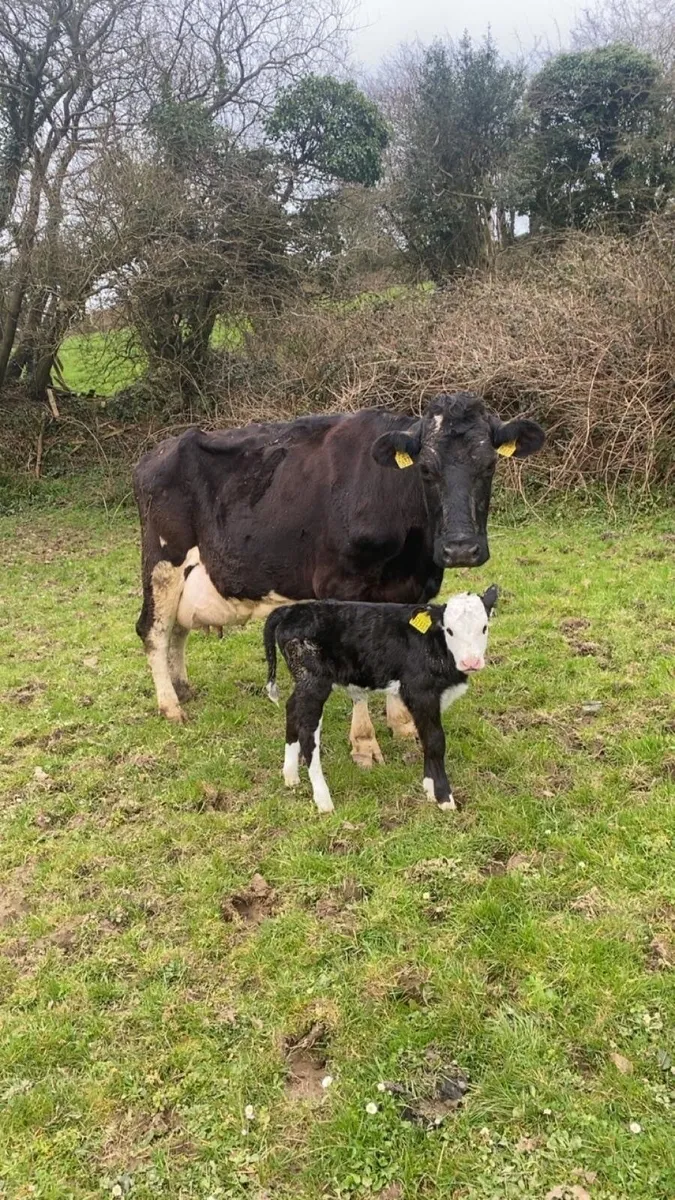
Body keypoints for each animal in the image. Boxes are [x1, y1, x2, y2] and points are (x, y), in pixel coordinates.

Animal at [133, 392, 544, 763]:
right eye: (426, 469)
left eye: (488, 465)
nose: (460, 548)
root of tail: (155, 453)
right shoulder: (342, 588)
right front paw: (364, 744)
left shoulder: (413, 588)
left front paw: (402, 725)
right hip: (162, 562)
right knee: (153, 629)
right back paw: (171, 706)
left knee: (177, 629)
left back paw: (182, 687)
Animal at [263, 587, 498, 813]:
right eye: (449, 630)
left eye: (484, 627)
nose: (471, 662)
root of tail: (290, 610)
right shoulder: (420, 692)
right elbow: (434, 741)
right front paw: (444, 798)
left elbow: (425, 738)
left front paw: (429, 789)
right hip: (314, 681)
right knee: (307, 730)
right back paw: (323, 800)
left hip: (303, 682)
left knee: (292, 708)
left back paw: (291, 776)